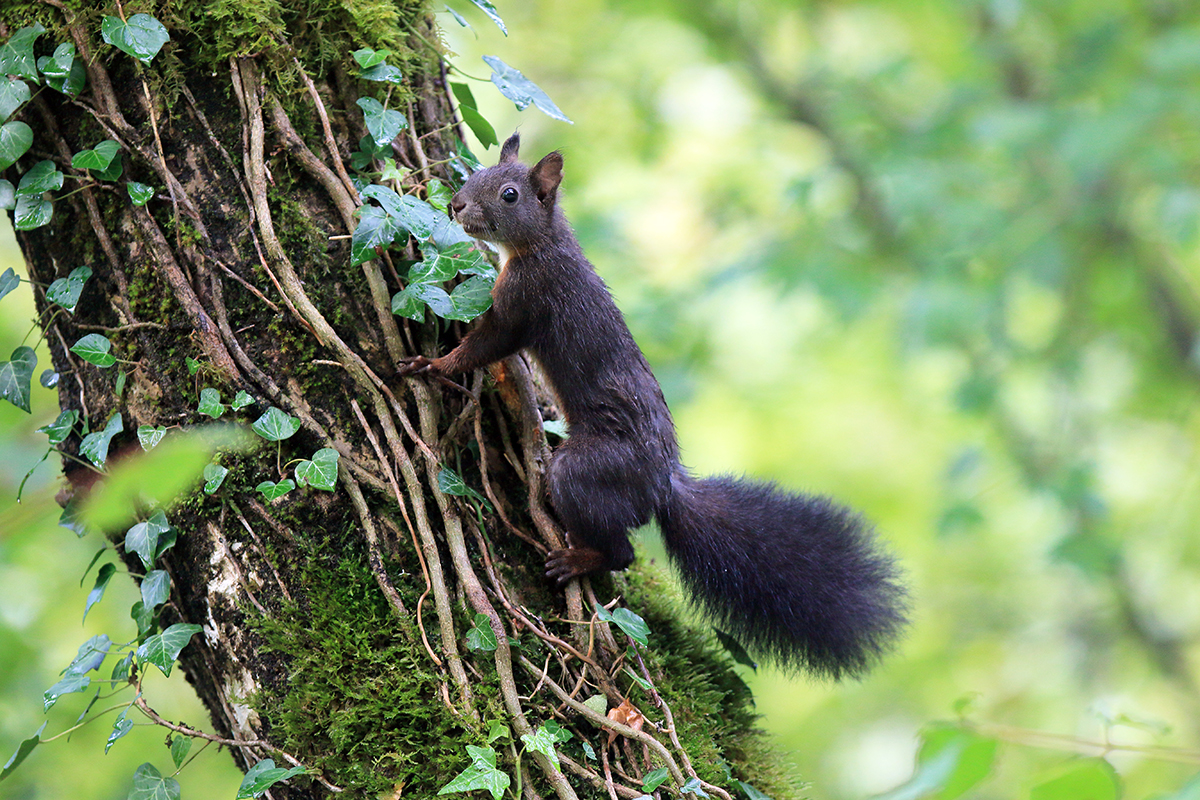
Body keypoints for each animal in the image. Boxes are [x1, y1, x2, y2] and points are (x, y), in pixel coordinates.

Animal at [398, 134, 902, 681]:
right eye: (474, 173)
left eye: (509, 195)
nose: (455, 204)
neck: (541, 245)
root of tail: (662, 485)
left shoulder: (526, 300)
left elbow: (488, 343)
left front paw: (432, 364)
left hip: (588, 471)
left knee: (620, 551)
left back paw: (576, 561)